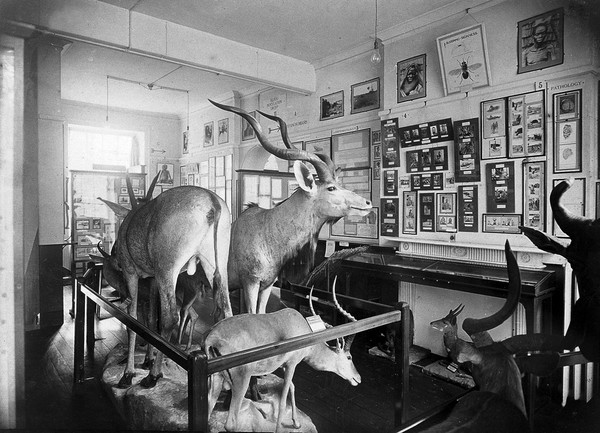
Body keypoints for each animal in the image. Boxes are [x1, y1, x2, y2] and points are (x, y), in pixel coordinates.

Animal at [96, 170, 232, 386]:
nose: (115, 256)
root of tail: (212, 202)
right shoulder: (152, 280)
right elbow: (151, 320)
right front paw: (147, 360)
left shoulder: (132, 273)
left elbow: (133, 319)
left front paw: (129, 373)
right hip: (214, 267)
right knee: (227, 313)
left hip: (167, 271)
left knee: (170, 318)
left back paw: (153, 375)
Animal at [204, 278, 360, 430]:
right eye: (349, 357)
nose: (358, 378)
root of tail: (211, 338)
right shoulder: (292, 365)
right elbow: (283, 401)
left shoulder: (284, 366)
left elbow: (292, 387)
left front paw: (296, 423)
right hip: (241, 380)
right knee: (230, 424)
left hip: (216, 379)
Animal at [209, 98, 372, 314]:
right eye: (331, 188)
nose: (367, 202)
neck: (267, 231)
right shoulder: (251, 283)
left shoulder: (267, 285)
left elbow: (260, 313)